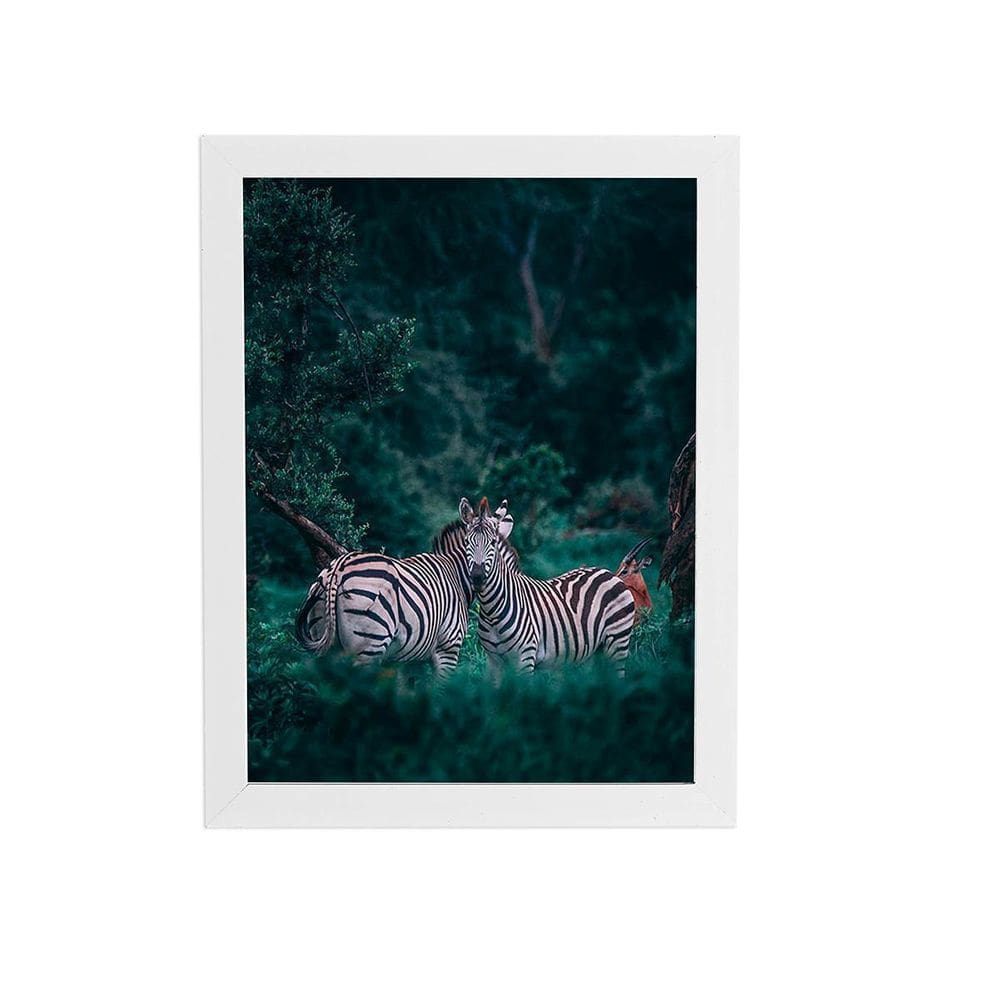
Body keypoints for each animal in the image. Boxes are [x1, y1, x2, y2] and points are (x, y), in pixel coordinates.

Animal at [459, 496, 640, 676]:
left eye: (493, 542)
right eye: (466, 542)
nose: (477, 577)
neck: (492, 611)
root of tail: (608, 573)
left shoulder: (525, 658)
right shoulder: (493, 661)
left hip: (617, 641)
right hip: (594, 652)